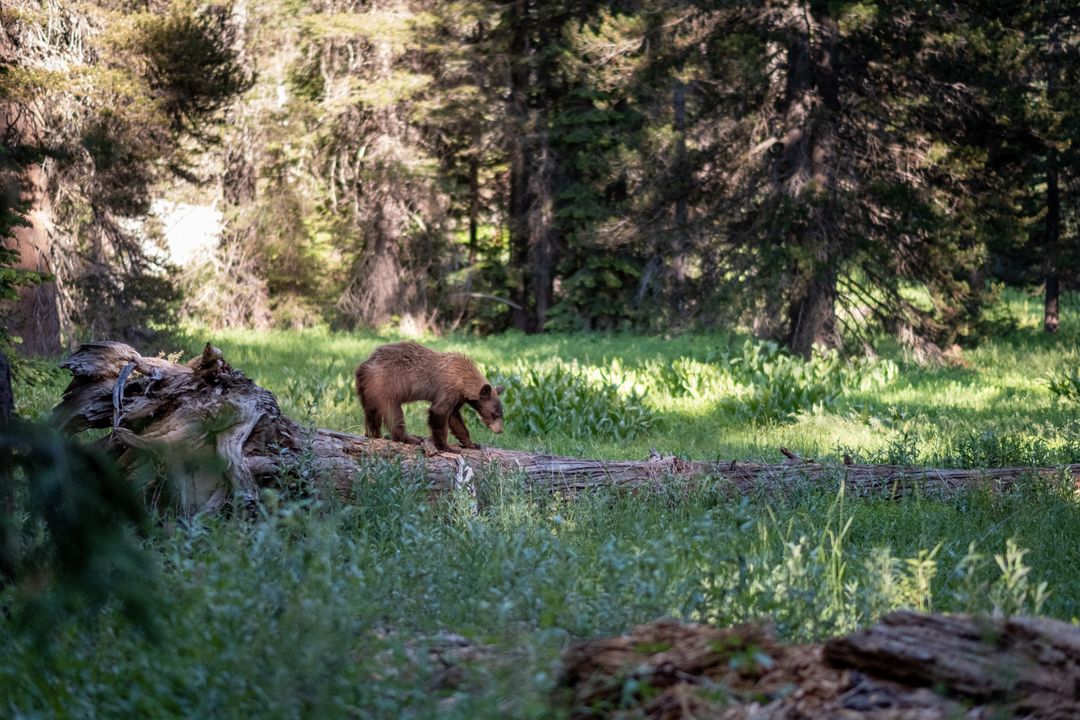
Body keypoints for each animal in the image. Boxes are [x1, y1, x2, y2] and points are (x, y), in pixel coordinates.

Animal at [354, 342, 505, 453]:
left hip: (367, 391)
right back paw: (409, 438)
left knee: (371, 413)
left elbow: (454, 418)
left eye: (501, 414)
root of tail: (364, 366)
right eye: (494, 414)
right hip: (386, 386)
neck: (464, 379)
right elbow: (439, 412)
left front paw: (471, 444)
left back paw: (373, 434)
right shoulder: (448, 389)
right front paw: (446, 447)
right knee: (393, 414)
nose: (500, 430)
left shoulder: (458, 397)